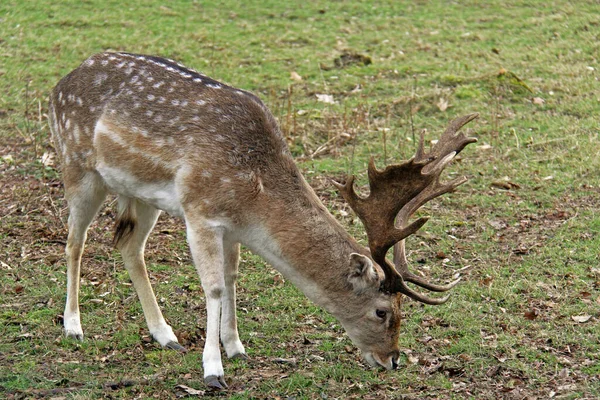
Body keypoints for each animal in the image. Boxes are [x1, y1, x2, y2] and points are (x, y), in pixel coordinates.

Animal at [48, 51, 478, 390]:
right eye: (382, 311)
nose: (393, 360)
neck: (253, 199)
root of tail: (62, 80)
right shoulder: (199, 211)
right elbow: (214, 287)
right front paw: (213, 370)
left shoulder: (232, 227)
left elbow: (232, 277)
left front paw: (236, 347)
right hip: (78, 167)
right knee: (73, 242)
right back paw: (73, 326)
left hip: (140, 193)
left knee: (128, 245)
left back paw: (165, 334)